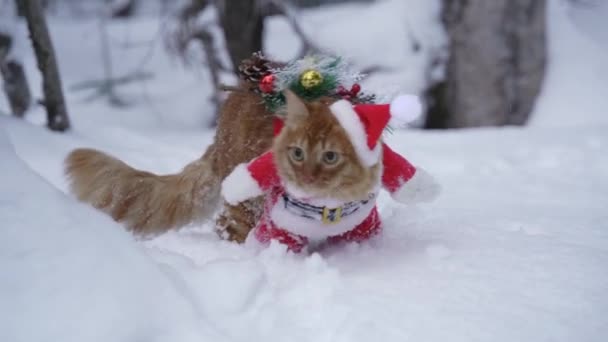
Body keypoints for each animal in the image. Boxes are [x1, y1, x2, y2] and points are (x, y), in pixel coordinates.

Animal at [221, 91, 440, 251]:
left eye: (330, 157)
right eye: (298, 153)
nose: (307, 177)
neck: (327, 206)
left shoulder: (363, 228)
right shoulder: (278, 230)